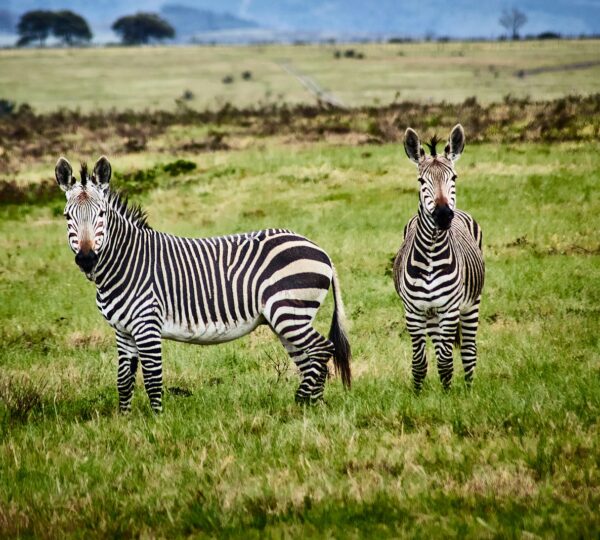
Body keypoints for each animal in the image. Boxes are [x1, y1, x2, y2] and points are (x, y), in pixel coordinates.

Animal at [55, 156, 352, 414]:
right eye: (67, 216)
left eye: (102, 214)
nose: (86, 259)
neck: (125, 263)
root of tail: (321, 250)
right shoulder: (123, 331)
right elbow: (124, 381)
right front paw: (124, 421)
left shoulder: (147, 325)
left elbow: (152, 379)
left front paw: (156, 423)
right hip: (287, 319)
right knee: (310, 359)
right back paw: (314, 407)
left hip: (289, 312)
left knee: (322, 349)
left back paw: (301, 401)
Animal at [394, 124, 482, 390]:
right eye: (421, 180)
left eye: (453, 178)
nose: (443, 215)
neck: (431, 255)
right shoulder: (413, 311)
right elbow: (420, 360)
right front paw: (418, 393)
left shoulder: (450, 309)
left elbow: (445, 359)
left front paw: (448, 395)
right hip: (432, 315)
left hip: (471, 304)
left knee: (468, 350)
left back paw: (469, 389)